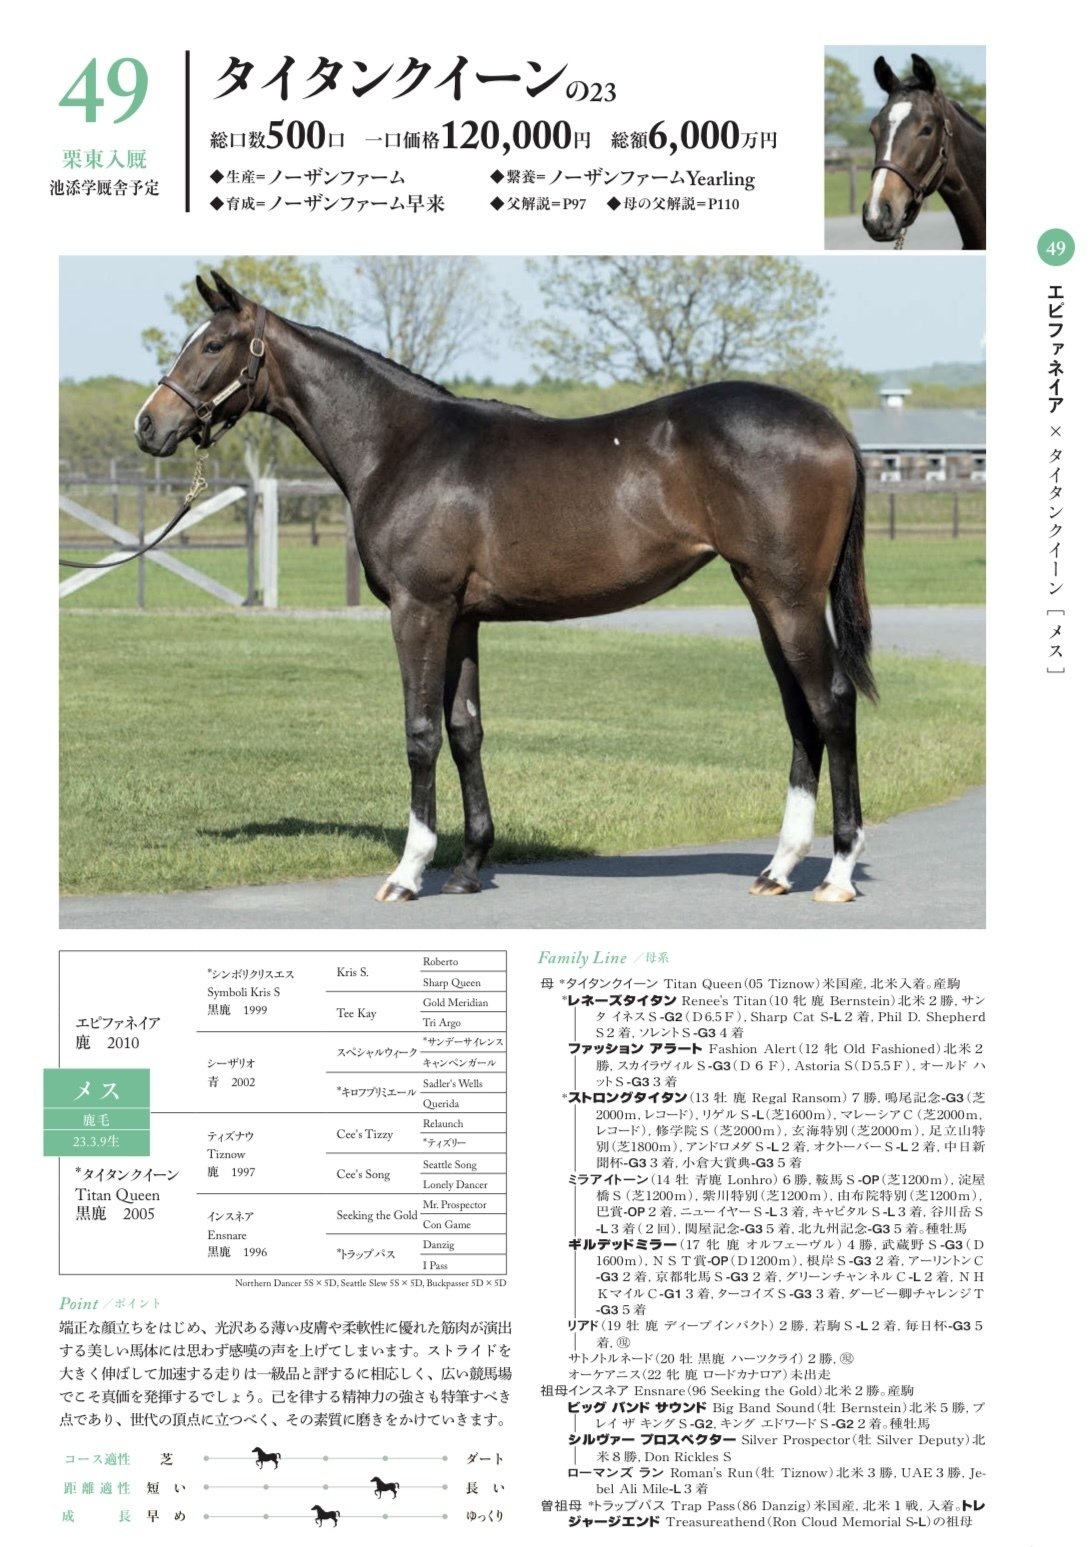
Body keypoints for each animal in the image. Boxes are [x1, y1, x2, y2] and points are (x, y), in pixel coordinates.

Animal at [134, 272, 877, 906]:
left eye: (213, 344)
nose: (149, 424)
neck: (402, 446)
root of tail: (834, 428)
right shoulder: (461, 619)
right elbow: (466, 731)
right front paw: (468, 867)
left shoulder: (419, 610)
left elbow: (421, 733)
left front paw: (409, 872)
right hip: (763, 596)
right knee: (800, 715)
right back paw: (779, 868)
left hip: (789, 598)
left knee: (832, 704)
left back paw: (837, 872)